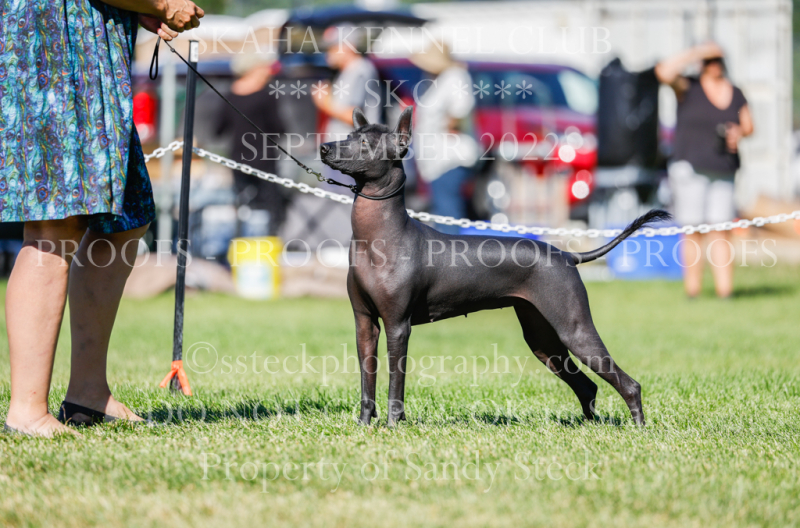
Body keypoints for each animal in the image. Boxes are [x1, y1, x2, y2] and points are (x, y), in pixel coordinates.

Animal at [320, 106, 670, 427]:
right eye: (349, 136)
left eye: (365, 143)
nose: (324, 148)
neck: (379, 237)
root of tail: (565, 255)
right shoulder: (365, 324)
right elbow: (367, 380)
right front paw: (364, 425)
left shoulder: (397, 326)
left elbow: (395, 381)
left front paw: (394, 425)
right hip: (543, 340)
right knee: (587, 385)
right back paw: (590, 425)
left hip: (575, 330)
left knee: (628, 384)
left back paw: (638, 427)